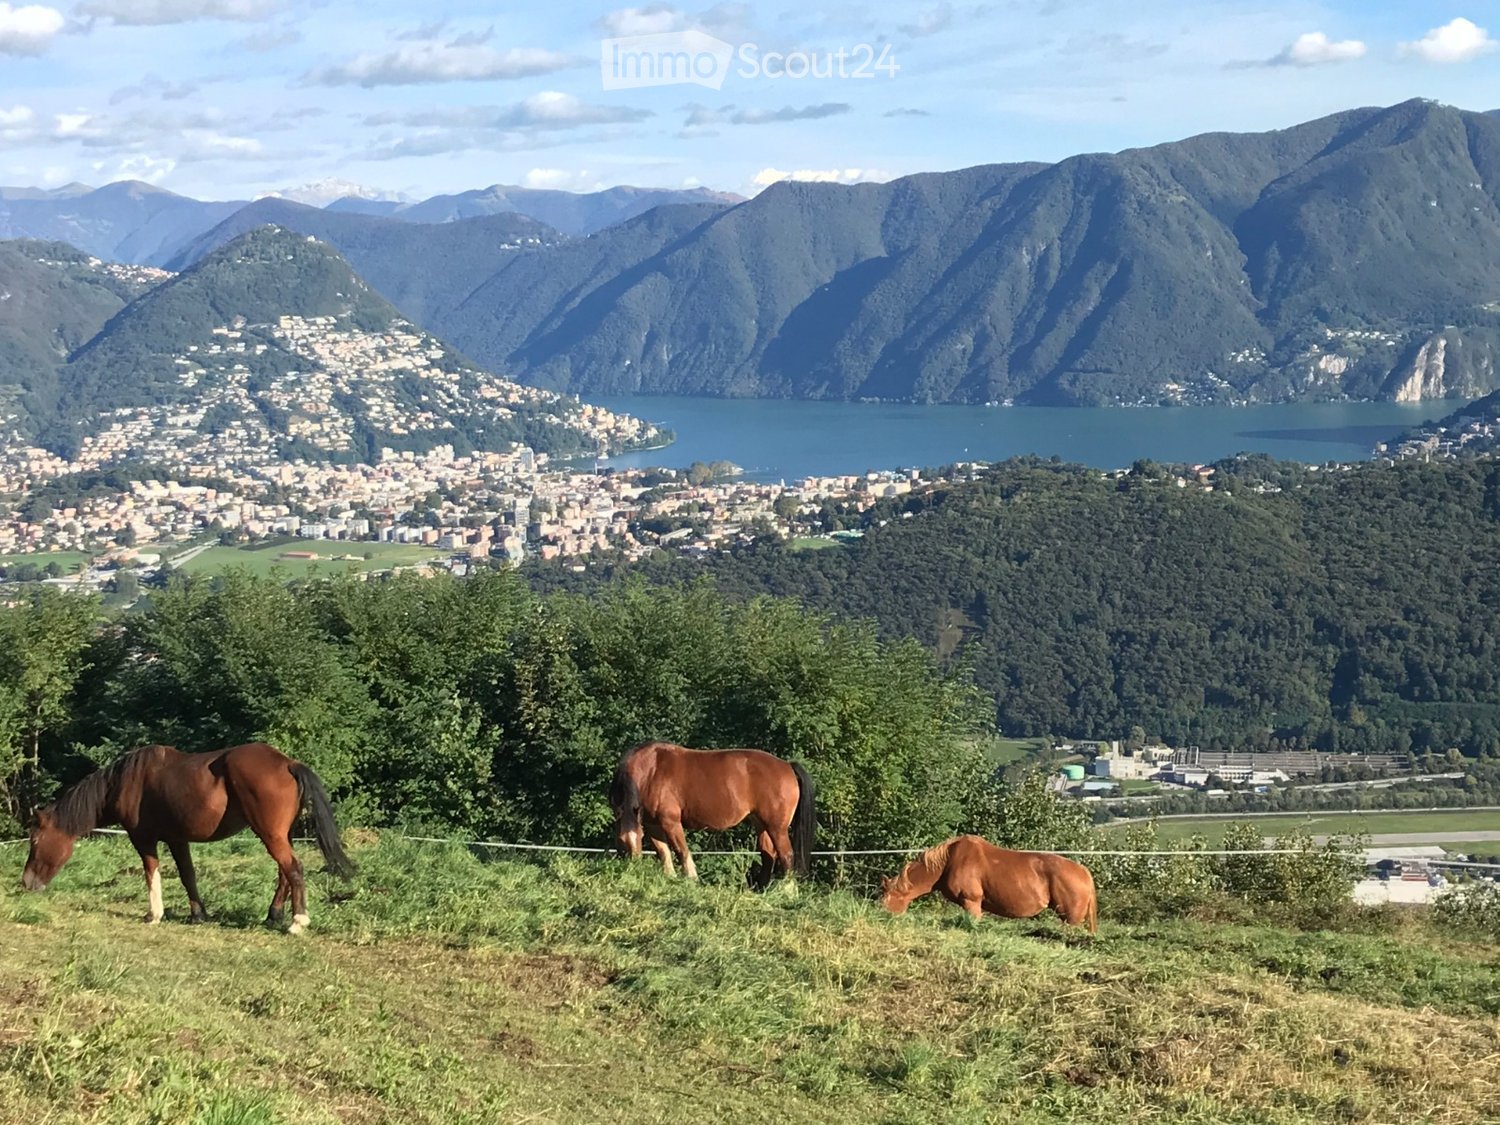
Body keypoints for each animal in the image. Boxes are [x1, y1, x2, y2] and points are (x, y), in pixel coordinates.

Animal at [21, 742, 354, 934]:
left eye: (35, 841)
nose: (25, 882)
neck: (126, 780)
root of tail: (286, 762)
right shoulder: (177, 839)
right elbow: (188, 875)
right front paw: (197, 914)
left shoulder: (143, 838)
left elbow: (151, 873)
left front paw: (154, 914)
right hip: (280, 835)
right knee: (285, 872)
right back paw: (273, 915)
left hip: (270, 834)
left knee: (293, 869)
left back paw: (298, 922)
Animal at [609, 741, 815, 888]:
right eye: (620, 839)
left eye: (638, 838)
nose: (633, 869)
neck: (651, 770)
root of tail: (787, 765)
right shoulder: (653, 825)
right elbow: (664, 853)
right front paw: (671, 878)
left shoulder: (670, 822)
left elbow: (681, 851)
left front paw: (692, 879)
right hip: (761, 824)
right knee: (768, 855)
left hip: (777, 827)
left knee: (786, 855)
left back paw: (789, 891)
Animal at [880, 835, 1097, 932]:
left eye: (885, 900)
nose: (883, 919)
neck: (950, 860)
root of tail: (1084, 873)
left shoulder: (972, 902)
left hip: (1071, 919)